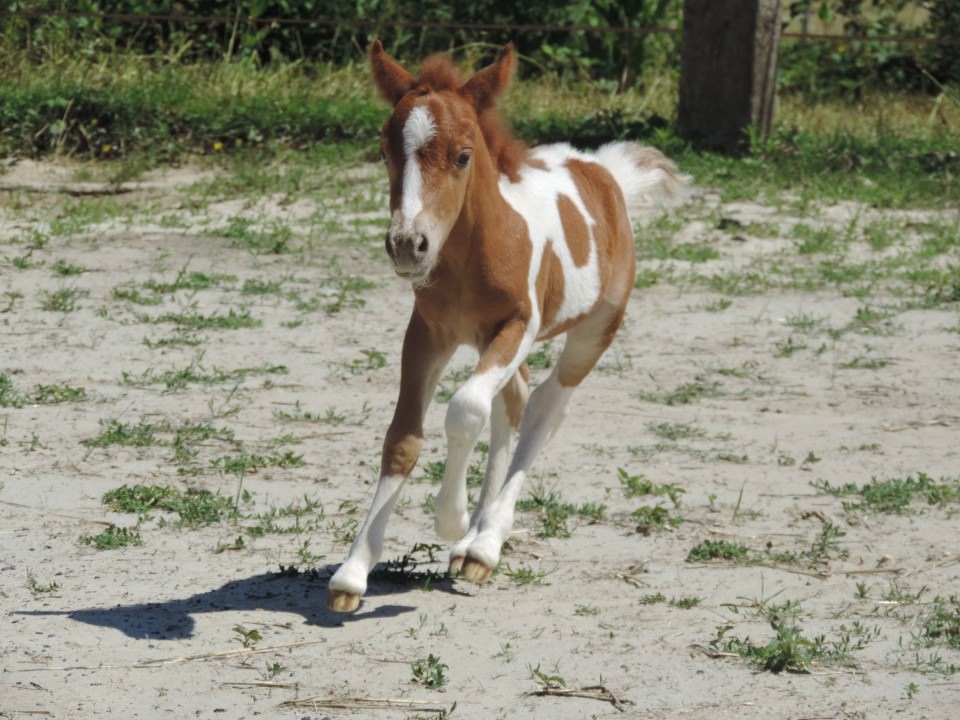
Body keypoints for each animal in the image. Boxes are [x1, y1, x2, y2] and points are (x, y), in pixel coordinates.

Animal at [328, 40, 684, 612]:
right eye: (385, 152)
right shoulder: (427, 333)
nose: (407, 245)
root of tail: (605, 171)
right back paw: (471, 543)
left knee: (544, 407)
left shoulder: (518, 324)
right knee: (511, 404)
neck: (472, 252)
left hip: (594, 332)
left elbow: (464, 410)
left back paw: (482, 543)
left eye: (463, 155)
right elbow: (404, 437)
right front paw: (353, 572)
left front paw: (451, 519)